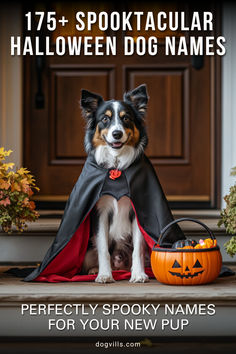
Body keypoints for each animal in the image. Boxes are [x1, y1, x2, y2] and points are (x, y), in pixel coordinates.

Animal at [81, 84, 149, 284]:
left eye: (126, 118)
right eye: (105, 119)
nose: (116, 133)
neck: (117, 166)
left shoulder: (138, 210)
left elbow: (138, 248)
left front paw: (138, 274)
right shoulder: (100, 211)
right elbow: (103, 248)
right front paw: (104, 274)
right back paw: (94, 270)